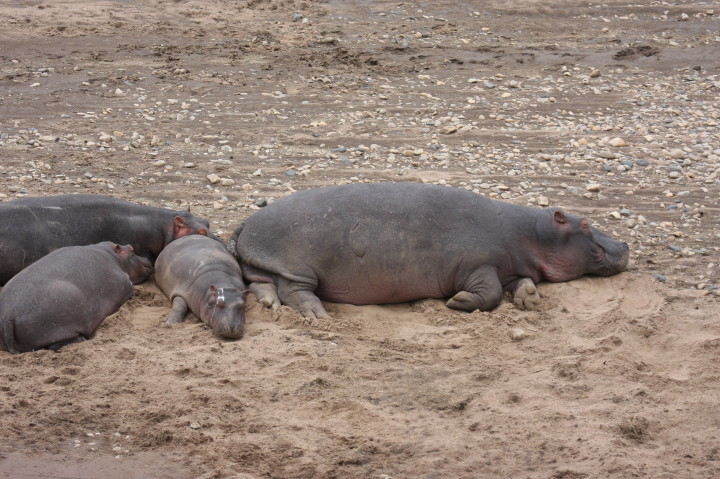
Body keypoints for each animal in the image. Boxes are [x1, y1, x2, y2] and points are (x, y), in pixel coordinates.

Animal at [0, 242, 153, 354]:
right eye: (132, 249)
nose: (148, 258)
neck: (113, 256)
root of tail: (7, 315)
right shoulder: (125, 282)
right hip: (58, 324)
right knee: (57, 344)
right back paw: (81, 340)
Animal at [228, 183, 629, 318]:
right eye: (585, 224)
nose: (625, 243)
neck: (534, 235)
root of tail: (246, 223)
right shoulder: (478, 264)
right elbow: (490, 291)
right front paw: (458, 303)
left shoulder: (512, 265)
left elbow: (519, 282)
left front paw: (528, 299)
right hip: (299, 265)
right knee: (294, 290)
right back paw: (318, 315)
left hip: (270, 264)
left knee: (265, 284)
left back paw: (272, 306)